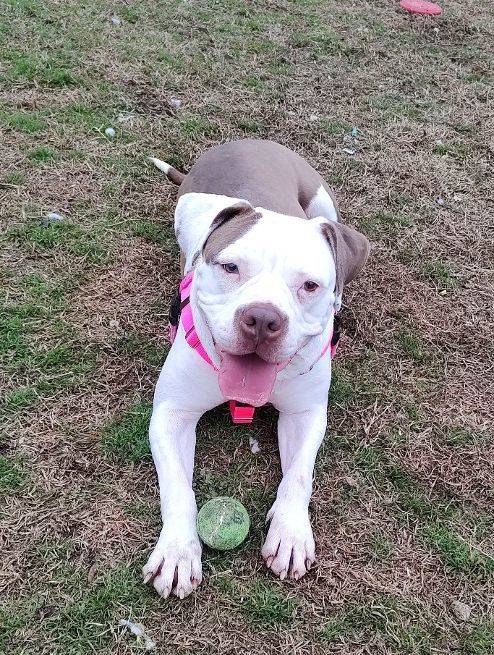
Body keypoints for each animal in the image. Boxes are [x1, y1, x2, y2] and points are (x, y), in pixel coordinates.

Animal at [142, 140, 366, 600]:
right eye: (230, 267)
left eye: (310, 285)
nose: (262, 319)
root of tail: (248, 141)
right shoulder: (172, 415)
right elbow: (177, 487)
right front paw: (177, 551)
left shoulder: (305, 414)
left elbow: (299, 474)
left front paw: (291, 535)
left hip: (324, 203)